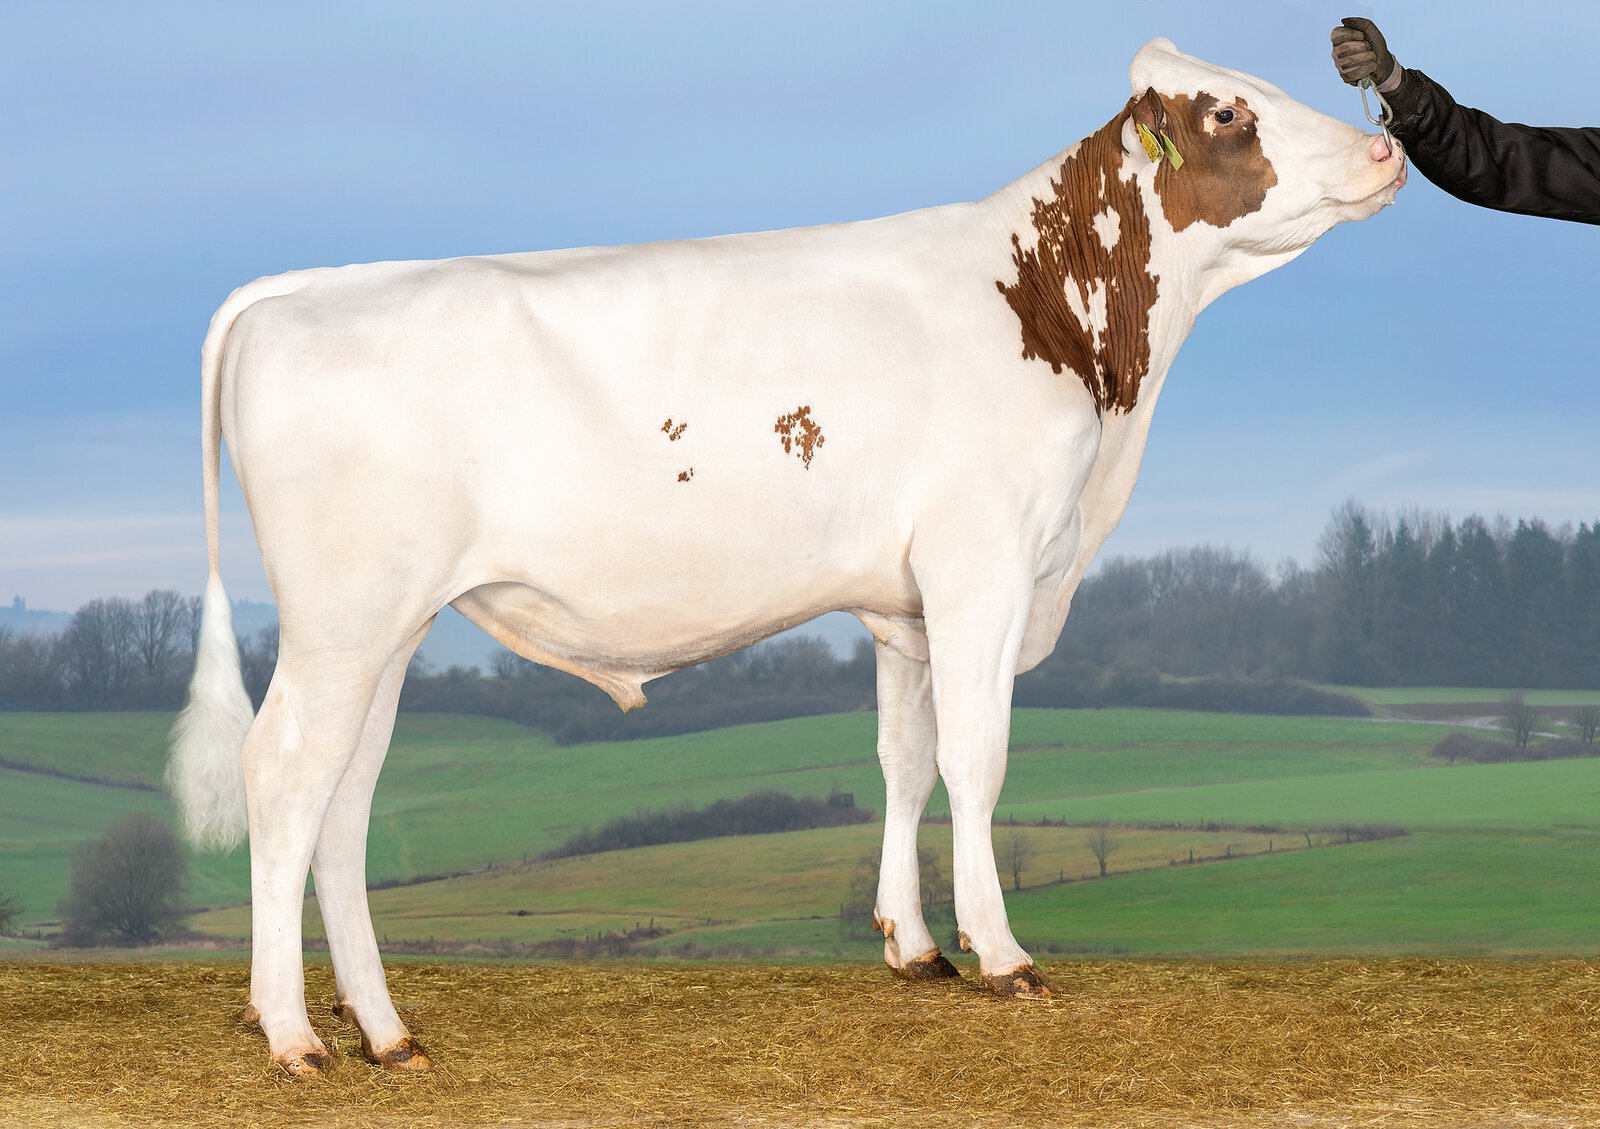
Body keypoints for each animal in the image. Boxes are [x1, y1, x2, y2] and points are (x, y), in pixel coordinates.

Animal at [169, 39, 1405, 1077]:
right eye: (1229, 109)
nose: (1389, 142)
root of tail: (304, 287)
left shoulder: (906, 603)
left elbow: (906, 760)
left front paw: (915, 945)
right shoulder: (984, 564)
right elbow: (978, 758)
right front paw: (1001, 953)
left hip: (387, 627)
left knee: (344, 801)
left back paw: (385, 1030)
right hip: (342, 621)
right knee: (284, 775)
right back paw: (292, 1034)